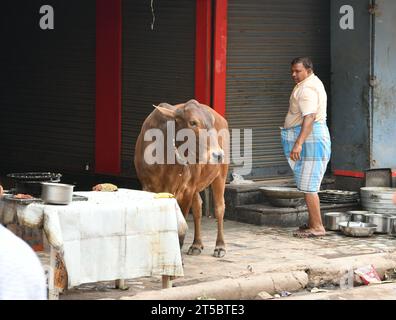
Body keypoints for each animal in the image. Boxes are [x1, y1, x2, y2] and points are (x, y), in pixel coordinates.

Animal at [134, 99, 229, 256]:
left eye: (212, 122)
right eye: (192, 122)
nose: (218, 154)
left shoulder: (186, 191)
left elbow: (181, 227)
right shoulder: (148, 187)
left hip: (220, 175)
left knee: (219, 208)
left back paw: (220, 246)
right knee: (198, 207)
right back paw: (196, 244)